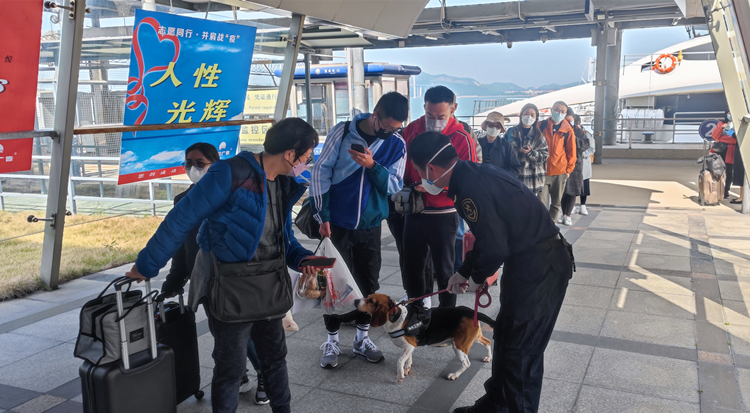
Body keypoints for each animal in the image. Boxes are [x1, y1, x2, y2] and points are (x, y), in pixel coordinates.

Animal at [362, 292, 496, 382]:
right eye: (367, 297)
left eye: (371, 301)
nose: (357, 301)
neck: (397, 316)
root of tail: (471, 312)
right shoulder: (410, 347)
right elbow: (408, 359)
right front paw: (407, 369)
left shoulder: (409, 345)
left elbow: (400, 360)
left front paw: (400, 375)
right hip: (473, 337)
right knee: (488, 341)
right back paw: (489, 357)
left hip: (459, 345)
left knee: (466, 363)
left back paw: (454, 375)